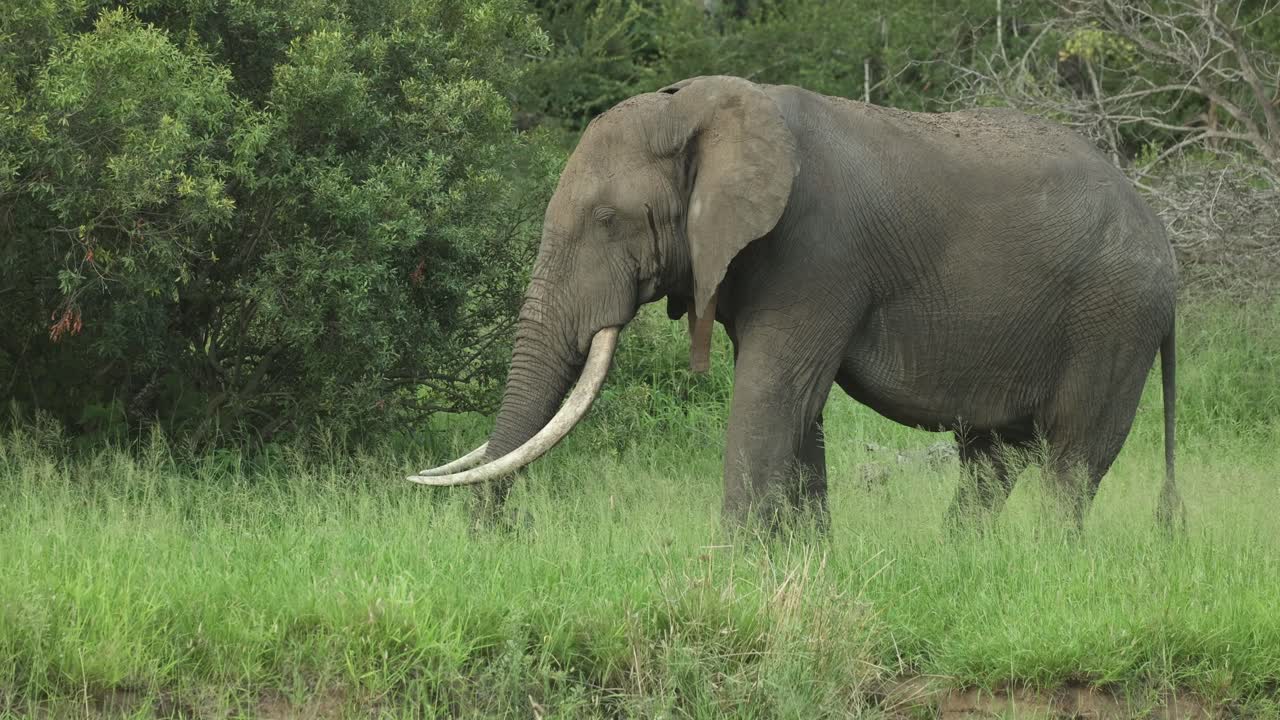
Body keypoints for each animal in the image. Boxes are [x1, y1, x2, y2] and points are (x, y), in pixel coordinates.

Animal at [410, 75, 1183, 533]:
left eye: (606, 220)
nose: (495, 540)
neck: (701, 107)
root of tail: (1162, 235)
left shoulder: (817, 253)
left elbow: (771, 394)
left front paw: (729, 567)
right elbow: (798, 408)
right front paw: (803, 557)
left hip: (1115, 318)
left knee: (1072, 461)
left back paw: (1047, 560)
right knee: (992, 461)